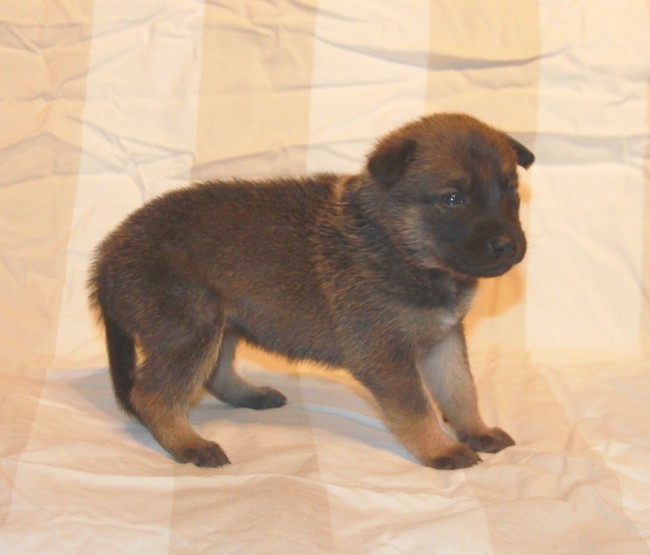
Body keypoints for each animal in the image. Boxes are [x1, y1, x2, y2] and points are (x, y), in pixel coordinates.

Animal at [89, 113, 534, 470]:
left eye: (510, 190)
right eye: (452, 198)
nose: (507, 245)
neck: (399, 245)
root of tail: (105, 257)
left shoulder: (444, 339)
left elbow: (460, 390)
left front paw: (476, 430)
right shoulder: (385, 355)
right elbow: (418, 408)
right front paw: (441, 449)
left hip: (221, 322)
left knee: (215, 372)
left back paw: (249, 395)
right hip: (190, 329)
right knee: (154, 396)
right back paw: (188, 444)